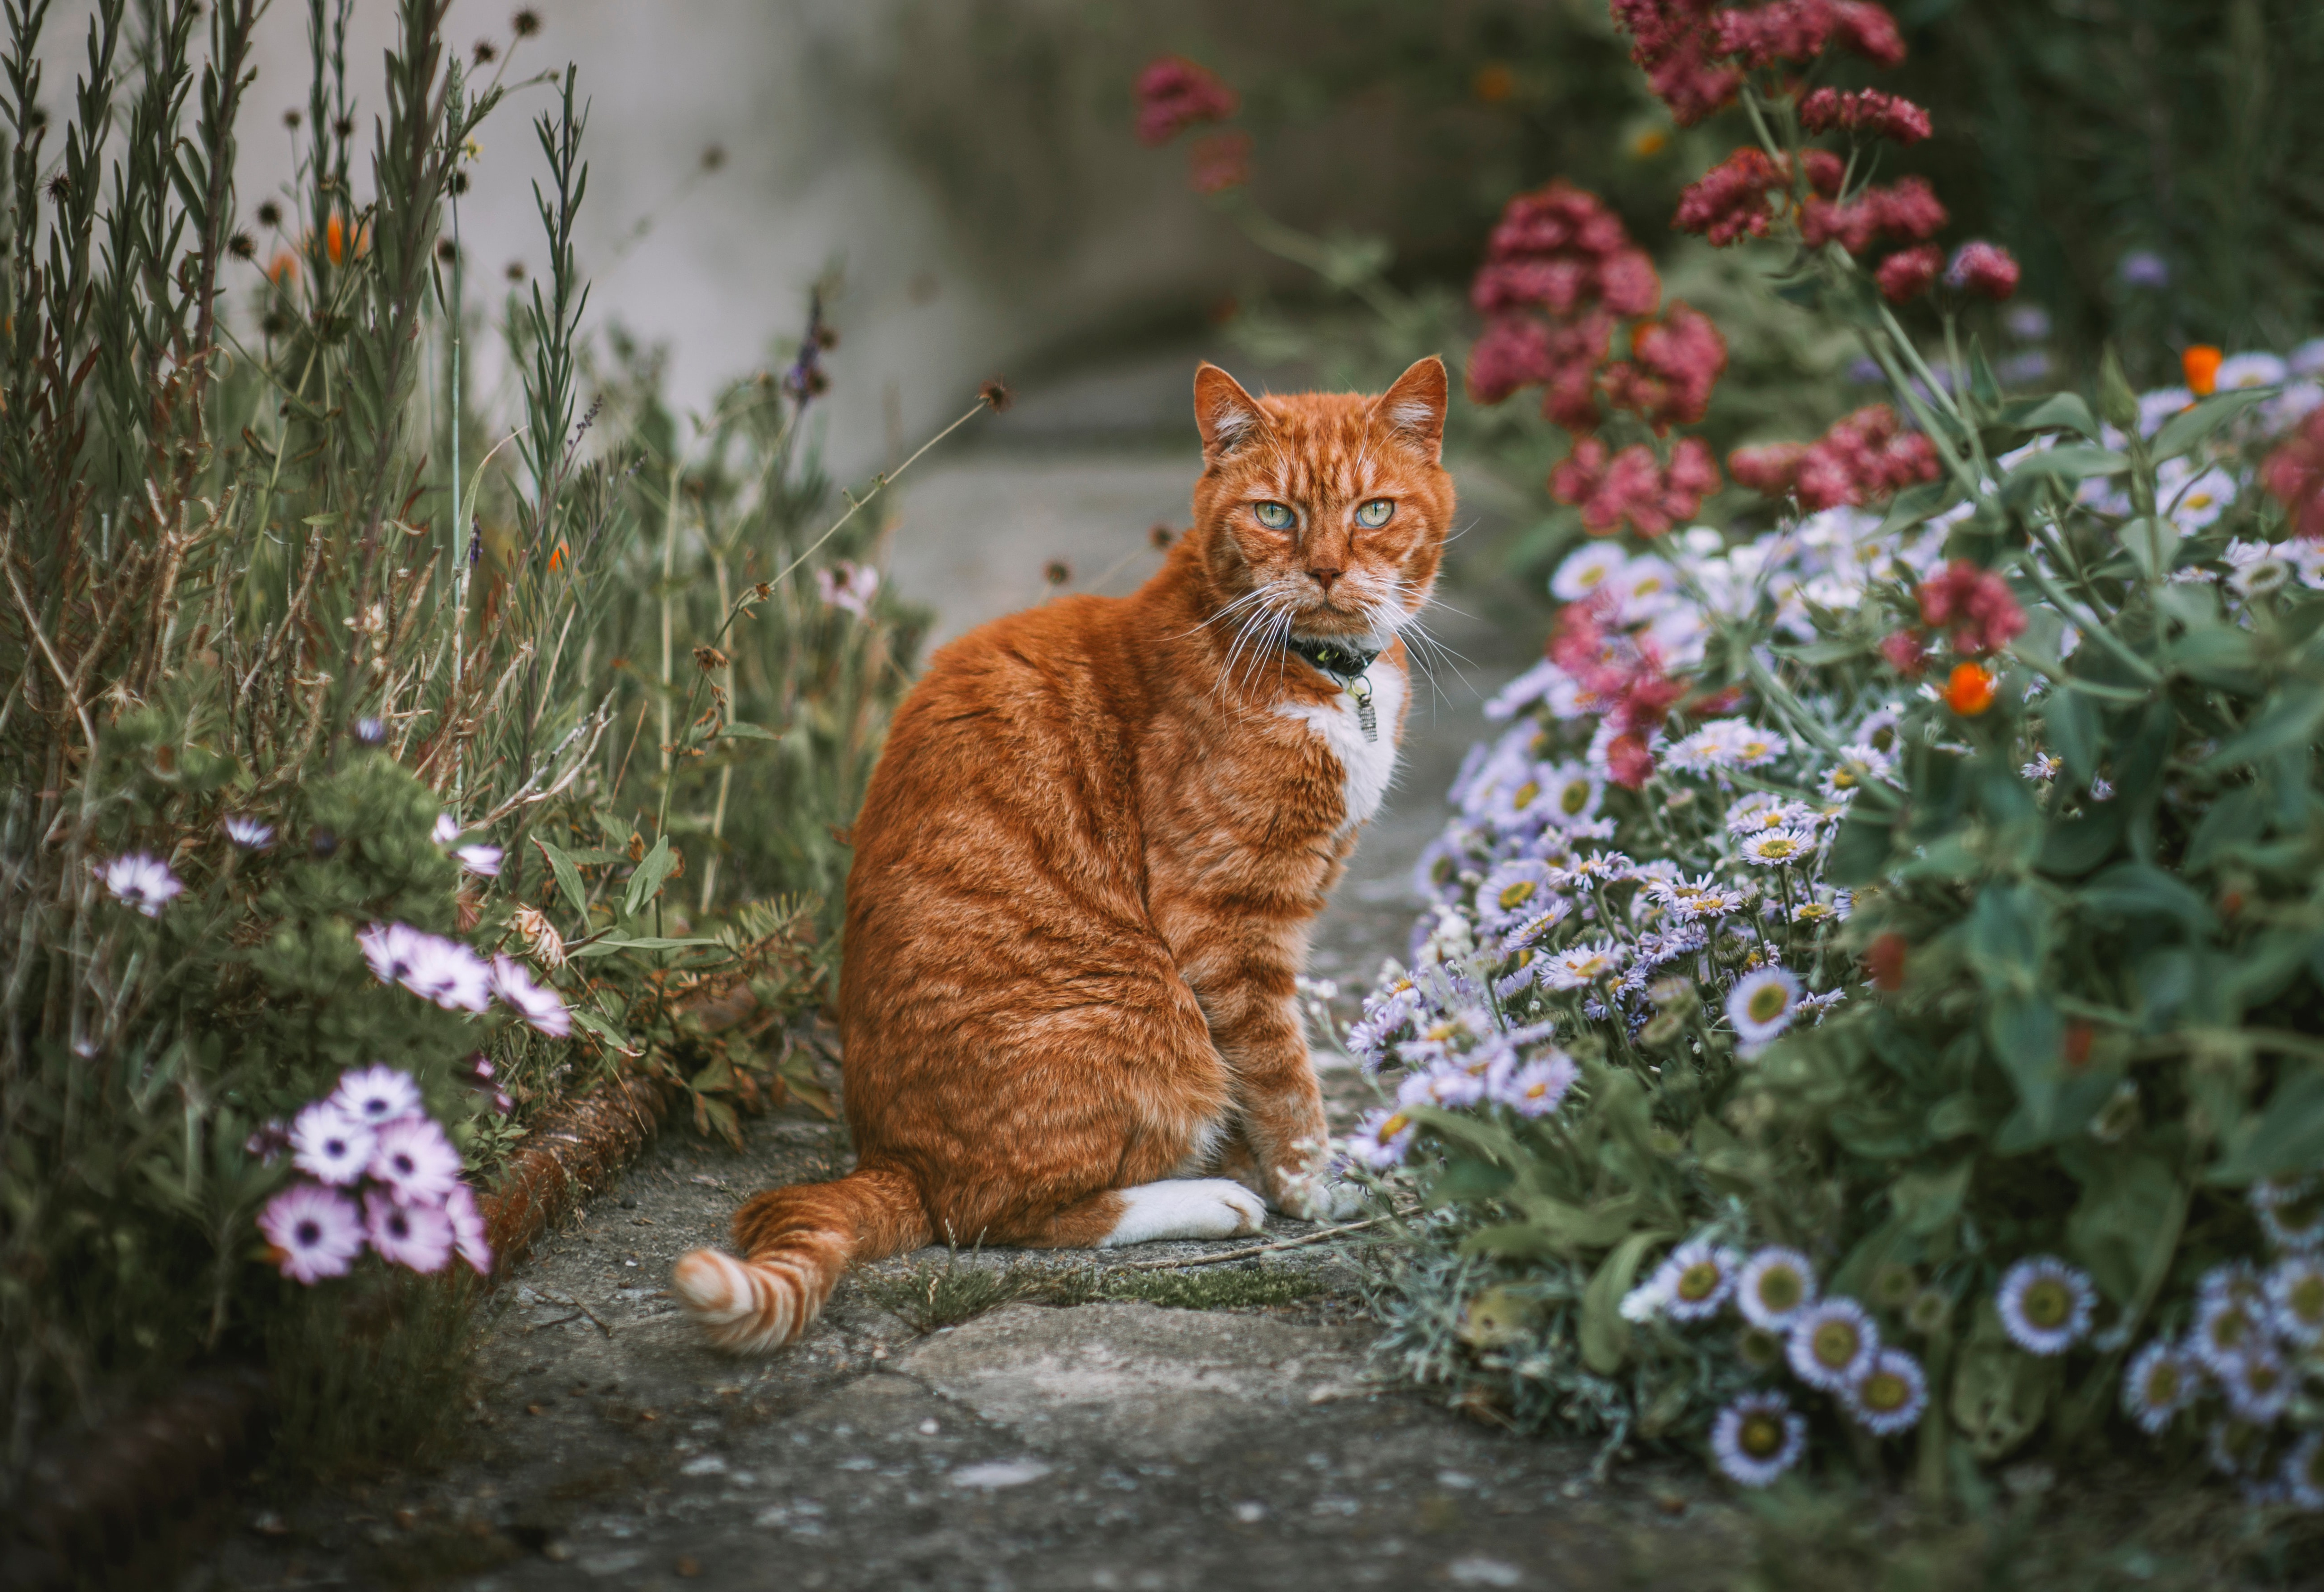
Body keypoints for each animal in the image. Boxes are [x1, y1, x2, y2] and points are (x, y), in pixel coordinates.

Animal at [665, 353, 1450, 1348]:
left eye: (1374, 510)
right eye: (1275, 514)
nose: (1325, 568)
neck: (1327, 676)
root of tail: (891, 1159)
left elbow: (1258, 1087)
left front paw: (1277, 1169)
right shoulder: (1225, 918)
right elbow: (1283, 1074)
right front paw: (1312, 1188)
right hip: (1147, 1016)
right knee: (995, 1214)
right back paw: (1208, 1200)